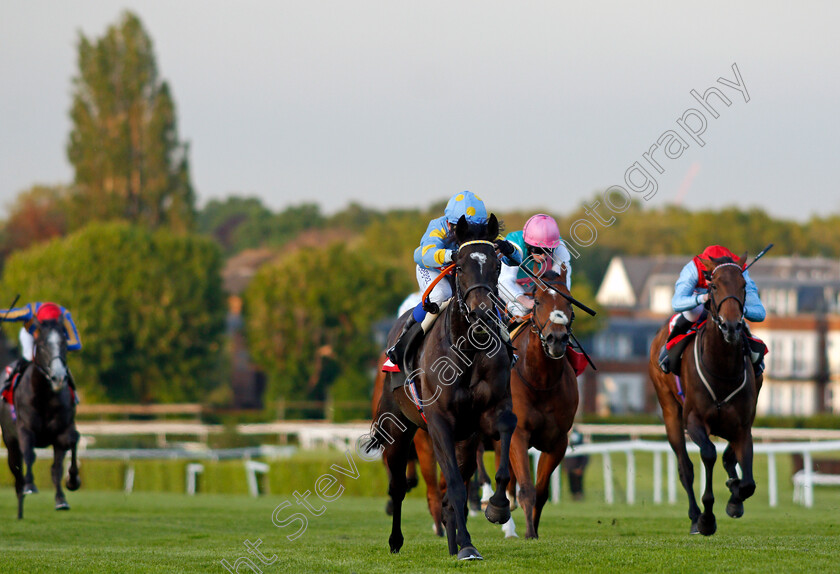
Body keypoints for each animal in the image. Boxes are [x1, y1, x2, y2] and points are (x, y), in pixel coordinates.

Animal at [0, 318, 79, 520]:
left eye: (64, 343)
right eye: (42, 345)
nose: (59, 377)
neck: (45, 396)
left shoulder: (62, 431)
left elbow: (61, 461)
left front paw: (67, 489)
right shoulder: (25, 429)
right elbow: (29, 454)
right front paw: (30, 486)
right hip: (10, 440)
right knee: (16, 469)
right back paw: (20, 504)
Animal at [370, 214, 516, 560]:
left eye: (497, 265)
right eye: (459, 267)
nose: (482, 314)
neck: (469, 349)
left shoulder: (490, 412)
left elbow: (504, 437)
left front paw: (497, 508)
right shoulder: (439, 422)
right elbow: (454, 484)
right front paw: (468, 546)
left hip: (464, 438)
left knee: (453, 489)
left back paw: (455, 542)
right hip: (398, 431)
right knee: (399, 487)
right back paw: (396, 541)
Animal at [506, 270, 576, 540]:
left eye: (569, 302)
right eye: (537, 302)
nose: (557, 339)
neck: (540, 381)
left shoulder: (558, 441)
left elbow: (542, 491)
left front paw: (534, 529)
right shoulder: (518, 432)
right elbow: (526, 488)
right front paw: (528, 533)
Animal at [648, 254, 760, 536]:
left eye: (744, 286)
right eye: (714, 286)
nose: (731, 326)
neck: (722, 368)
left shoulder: (743, 427)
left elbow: (748, 482)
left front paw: (734, 499)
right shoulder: (694, 420)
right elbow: (708, 455)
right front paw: (707, 519)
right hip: (670, 411)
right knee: (685, 467)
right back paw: (694, 516)